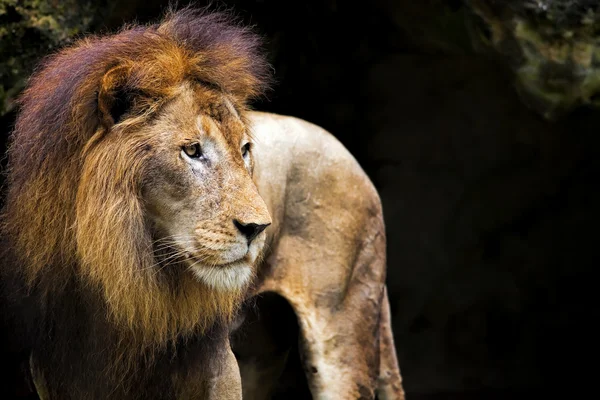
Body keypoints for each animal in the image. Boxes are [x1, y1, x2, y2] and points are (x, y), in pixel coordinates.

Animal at [0, 6, 406, 400]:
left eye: (245, 150)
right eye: (193, 150)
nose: (259, 228)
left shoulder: (217, 365)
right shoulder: (54, 369)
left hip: (342, 321)